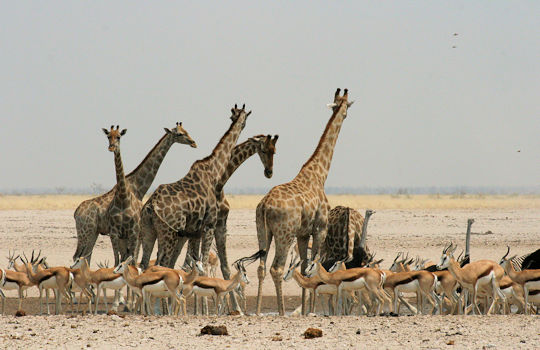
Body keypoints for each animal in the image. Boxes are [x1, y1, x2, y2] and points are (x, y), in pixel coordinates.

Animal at [73, 121, 196, 262]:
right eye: (180, 134)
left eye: (186, 131)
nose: (193, 143)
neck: (137, 187)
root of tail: (76, 213)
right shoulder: (135, 232)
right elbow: (133, 257)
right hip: (86, 232)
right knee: (77, 255)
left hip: (93, 232)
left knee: (85, 256)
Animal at [138, 102, 250, 270]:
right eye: (243, 118)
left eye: (233, 115)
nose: (241, 124)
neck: (215, 170)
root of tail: (151, 205)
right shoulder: (209, 224)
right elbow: (203, 262)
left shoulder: (194, 230)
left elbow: (196, 262)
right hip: (169, 233)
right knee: (162, 263)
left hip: (148, 230)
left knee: (144, 263)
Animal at [180, 134, 280, 312]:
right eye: (262, 150)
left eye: (274, 151)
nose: (269, 172)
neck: (220, 183)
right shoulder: (210, 226)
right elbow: (203, 266)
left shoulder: (220, 225)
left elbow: (224, 267)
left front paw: (235, 309)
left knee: (185, 264)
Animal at [253, 88, 354, 318]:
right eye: (345, 109)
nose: (345, 115)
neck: (320, 174)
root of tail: (265, 205)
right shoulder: (319, 229)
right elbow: (312, 265)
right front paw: (310, 311)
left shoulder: (302, 233)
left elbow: (303, 266)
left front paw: (305, 309)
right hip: (284, 233)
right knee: (276, 268)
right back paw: (281, 311)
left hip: (263, 230)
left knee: (261, 267)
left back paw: (258, 311)